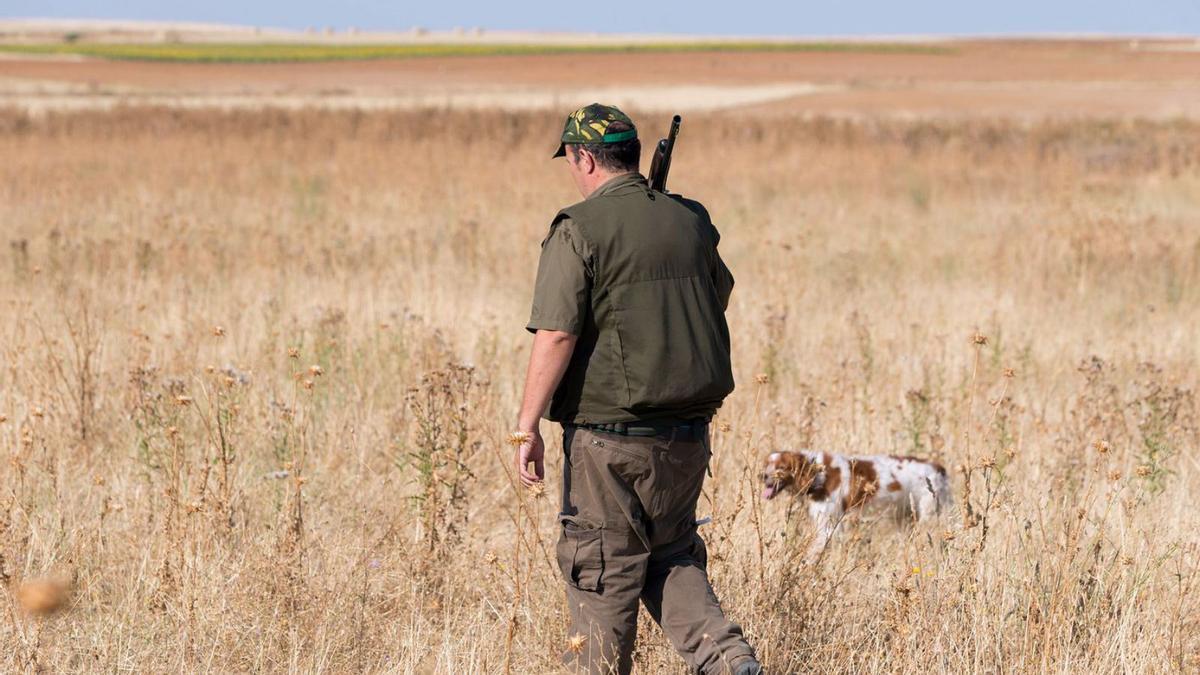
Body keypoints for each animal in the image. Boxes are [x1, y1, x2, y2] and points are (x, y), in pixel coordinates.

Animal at [763, 449, 950, 559]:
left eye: (781, 467)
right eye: (766, 465)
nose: (762, 475)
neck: (818, 474)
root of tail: (938, 468)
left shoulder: (829, 526)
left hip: (930, 515)